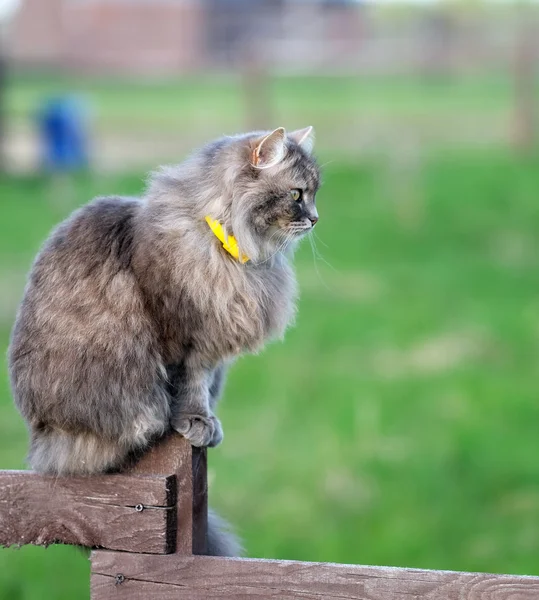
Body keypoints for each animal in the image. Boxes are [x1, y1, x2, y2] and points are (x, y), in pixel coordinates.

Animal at [8, 124, 318, 556]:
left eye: (314, 192)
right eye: (296, 195)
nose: (316, 219)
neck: (229, 246)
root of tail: (43, 451)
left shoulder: (211, 348)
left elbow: (202, 384)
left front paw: (207, 422)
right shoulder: (181, 336)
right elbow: (188, 386)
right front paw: (193, 422)